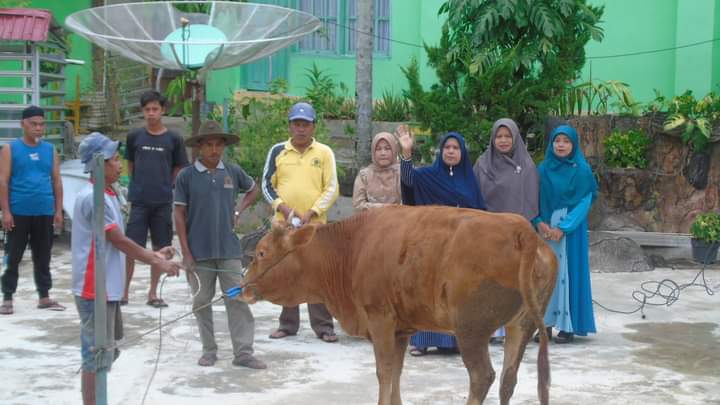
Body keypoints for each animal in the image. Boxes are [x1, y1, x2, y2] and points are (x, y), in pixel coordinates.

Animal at [239, 205, 560, 404]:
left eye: (262, 252)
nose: (242, 287)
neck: (351, 247)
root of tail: (522, 230)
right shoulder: (402, 329)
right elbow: (396, 372)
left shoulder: (379, 318)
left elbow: (384, 371)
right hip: (522, 324)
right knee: (508, 379)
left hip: (471, 329)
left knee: (482, 377)